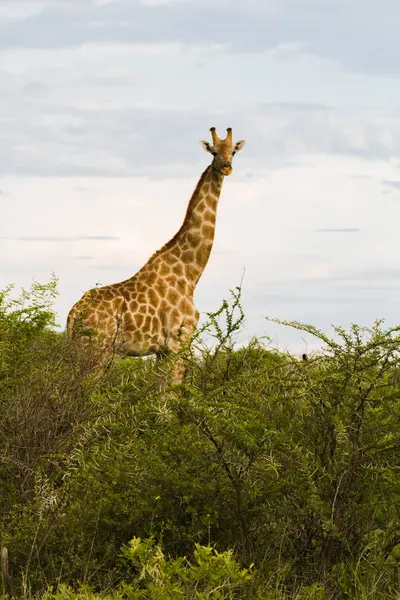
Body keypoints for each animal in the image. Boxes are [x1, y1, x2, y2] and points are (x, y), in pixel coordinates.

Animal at [67, 127, 245, 382]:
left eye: (233, 151)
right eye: (213, 151)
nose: (226, 167)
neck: (190, 272)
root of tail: (72, 316)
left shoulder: (163, 349)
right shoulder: (178, 341)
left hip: (80, 350)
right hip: (96, 350)